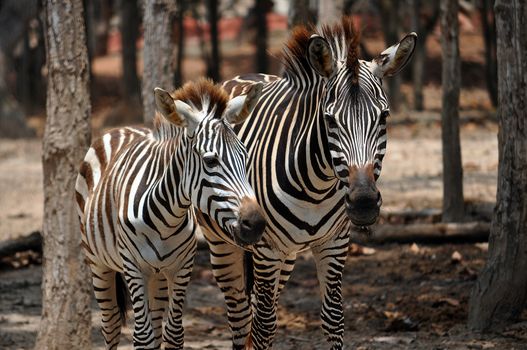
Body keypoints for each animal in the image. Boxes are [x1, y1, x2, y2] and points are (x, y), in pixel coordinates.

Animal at [75, 79, 266, 350]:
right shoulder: (133, 267)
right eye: (210, 161)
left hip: (157, 276)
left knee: (155, 324)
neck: (165, 219)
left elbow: (173, 333)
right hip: (98, 263)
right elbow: (142, 336)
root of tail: (121, 129)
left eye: (245, 156)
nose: (256, 224)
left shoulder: (181, 267)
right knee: (110, 325)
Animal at [198, 17, 416, 348]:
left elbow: (333, 319)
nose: (364, 203)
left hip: (287, 256)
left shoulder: (334, 243)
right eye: (330, 120)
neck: (317, 188)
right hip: (223, 244)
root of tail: (241, 76)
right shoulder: (267, 249)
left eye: (384, 117)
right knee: (241, 318)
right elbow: (263, 327)